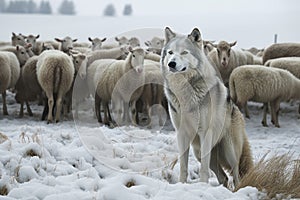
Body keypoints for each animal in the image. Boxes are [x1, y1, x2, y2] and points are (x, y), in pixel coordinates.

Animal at [161, 27, 252, 188]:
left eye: (184, 52)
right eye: (170, 53)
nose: (171, 64)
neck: (185, 92)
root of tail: (235, 108)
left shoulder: (205, 132)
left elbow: (203, 169)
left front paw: (202, 185)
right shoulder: (181, 133)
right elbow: (183, 166)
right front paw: (182, 184)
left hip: (230, 152)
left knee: (235, 175)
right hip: (200, 152)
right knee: (224, 177)